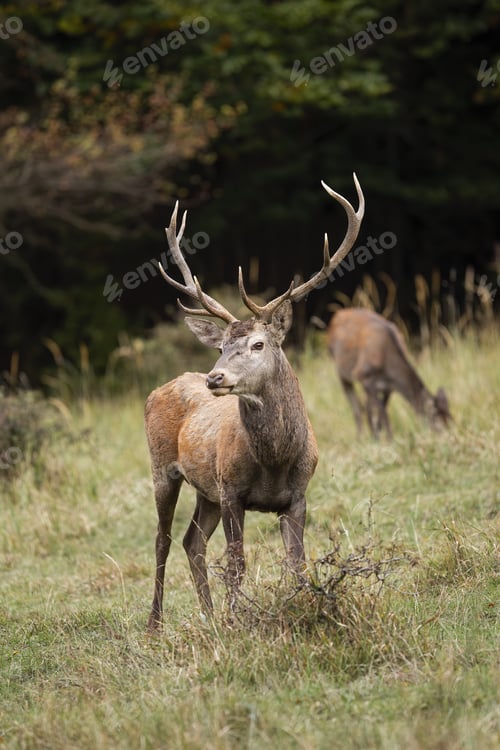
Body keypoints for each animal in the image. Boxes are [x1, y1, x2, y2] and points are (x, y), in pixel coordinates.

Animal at [145, 175, 364, 631]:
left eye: (258, 344)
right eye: (221, 347)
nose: (214, 378)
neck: (276, 459)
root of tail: (158, 389)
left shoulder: (297, 495)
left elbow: (296, 563)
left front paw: (303, 608)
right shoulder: (232, 490)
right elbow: (237, 563)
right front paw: (237, 621)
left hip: (206, 492)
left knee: (192, 542)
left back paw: (208, 616)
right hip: (163, 469)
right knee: (163, 539)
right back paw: (155, 625)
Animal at [327, 308, 451, 439]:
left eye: (450, 420)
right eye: (438, 423)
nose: (450, 437)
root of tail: (337, 314)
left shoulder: (388, 388)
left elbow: (381, 411)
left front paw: (379, 436)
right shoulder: (363, 376)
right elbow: (383, 412)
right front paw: (390, 439)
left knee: (366, 407)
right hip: (340, 368)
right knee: (357, 407)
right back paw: (360, 437)